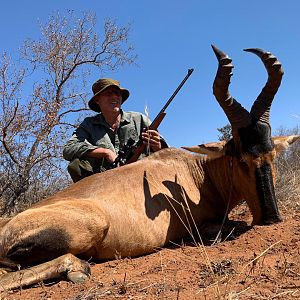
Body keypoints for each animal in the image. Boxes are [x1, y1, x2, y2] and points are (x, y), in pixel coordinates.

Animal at [0, 45, 298, 290]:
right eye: (241, 159)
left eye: (272, 155)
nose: (271, 218)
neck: (194, 173)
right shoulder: (198, 228)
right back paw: (77, 269)